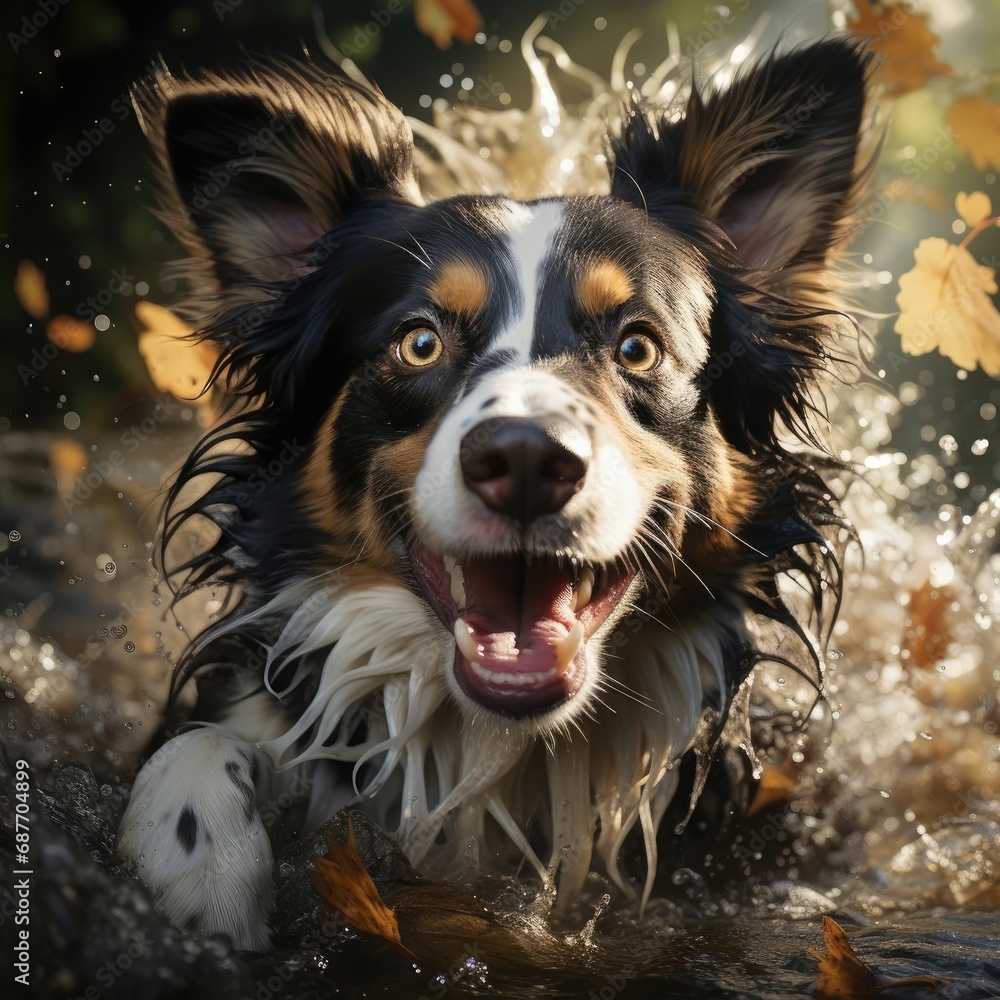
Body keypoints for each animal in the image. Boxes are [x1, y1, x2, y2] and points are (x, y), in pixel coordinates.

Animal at [117, 35, 872, 948]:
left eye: (638, 347)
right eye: (418, 342)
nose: (525, 458)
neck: (499, 753)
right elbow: (197, 747)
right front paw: (202, 869)